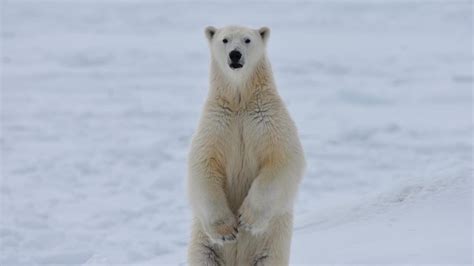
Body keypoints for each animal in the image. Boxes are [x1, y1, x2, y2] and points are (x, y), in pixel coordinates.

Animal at [187, 25, 306, 266]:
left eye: (247, 40)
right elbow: (204, 164)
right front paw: (227, 230)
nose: (235, 54)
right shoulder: (217, 124)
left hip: (271, 245)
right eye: (224, 40)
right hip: (204, 246)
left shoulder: (267, 120)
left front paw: (247, 219)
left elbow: (281, 159)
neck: (240, 102)